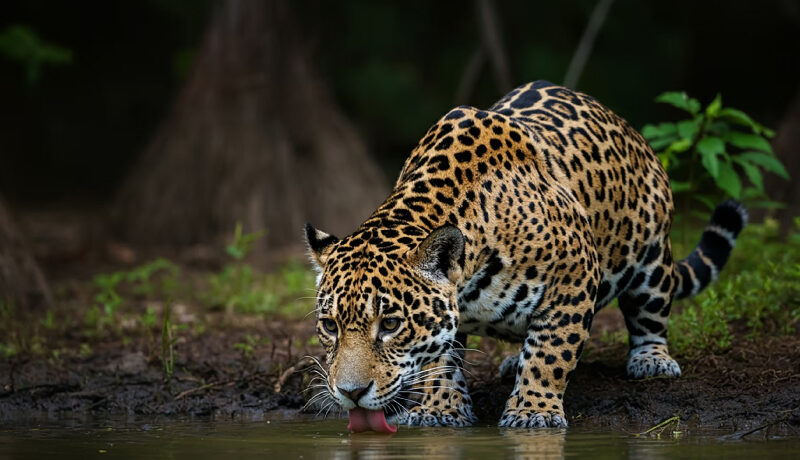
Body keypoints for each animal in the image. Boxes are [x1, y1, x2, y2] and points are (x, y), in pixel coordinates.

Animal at [304, 80, 748, 429]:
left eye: (391, 324)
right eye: (329, 326)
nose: (351, 392)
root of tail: (628, 129)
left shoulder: (574, 279)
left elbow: (552, 353)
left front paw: (533, 412)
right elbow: (438, 358)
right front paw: (441, 409)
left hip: (651, 255)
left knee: (650, 313)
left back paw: (652, 360)